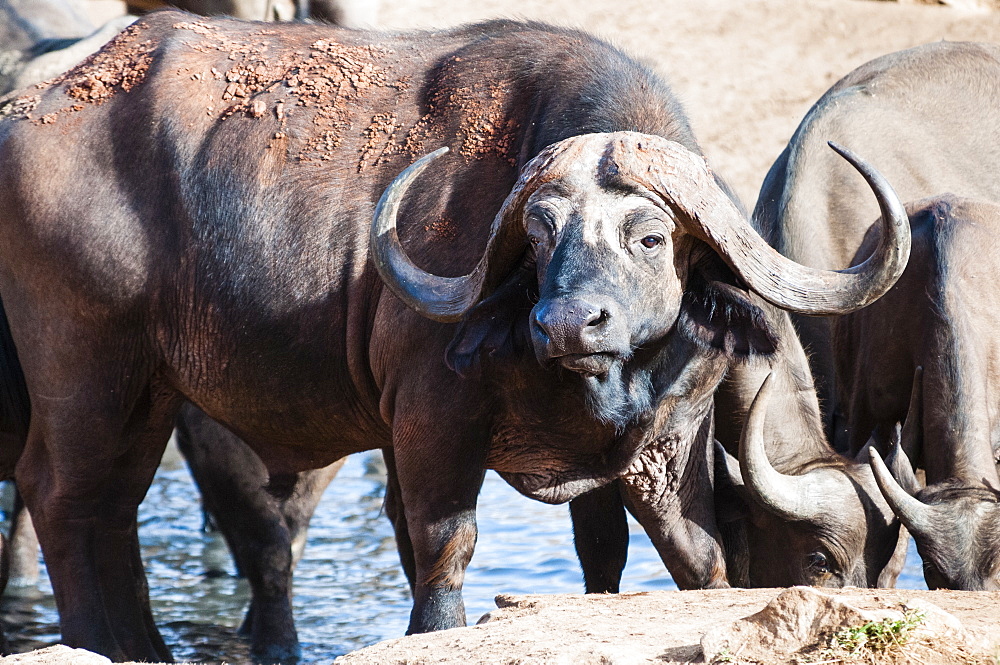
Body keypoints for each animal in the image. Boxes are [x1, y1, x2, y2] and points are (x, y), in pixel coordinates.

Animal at [0, 13, 908, 660]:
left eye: (651, 236)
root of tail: (32, 110)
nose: (566, 321)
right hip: (88, 373)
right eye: (538, 235)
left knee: (112, 510)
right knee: (63, 497)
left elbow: (694, 557)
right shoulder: (430, 421)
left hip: (147, 392)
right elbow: (444, 547)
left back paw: (141, 648)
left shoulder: (666, 446)